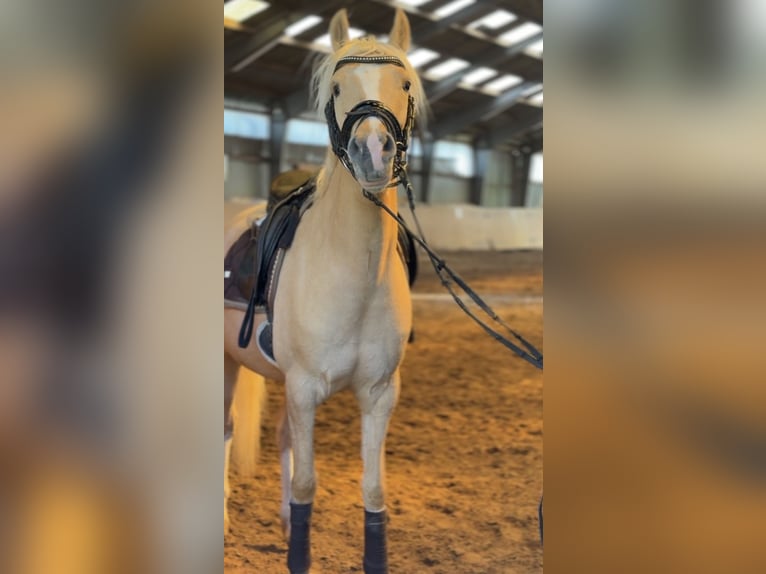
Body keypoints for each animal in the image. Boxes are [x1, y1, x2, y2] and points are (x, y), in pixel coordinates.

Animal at [224, 8, 426, 574]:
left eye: (405, 84)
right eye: (337, 87)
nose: (373, 152)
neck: (351, 275)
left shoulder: (379, 394)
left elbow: (373, 492)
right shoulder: (304, 387)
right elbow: (306, 484)